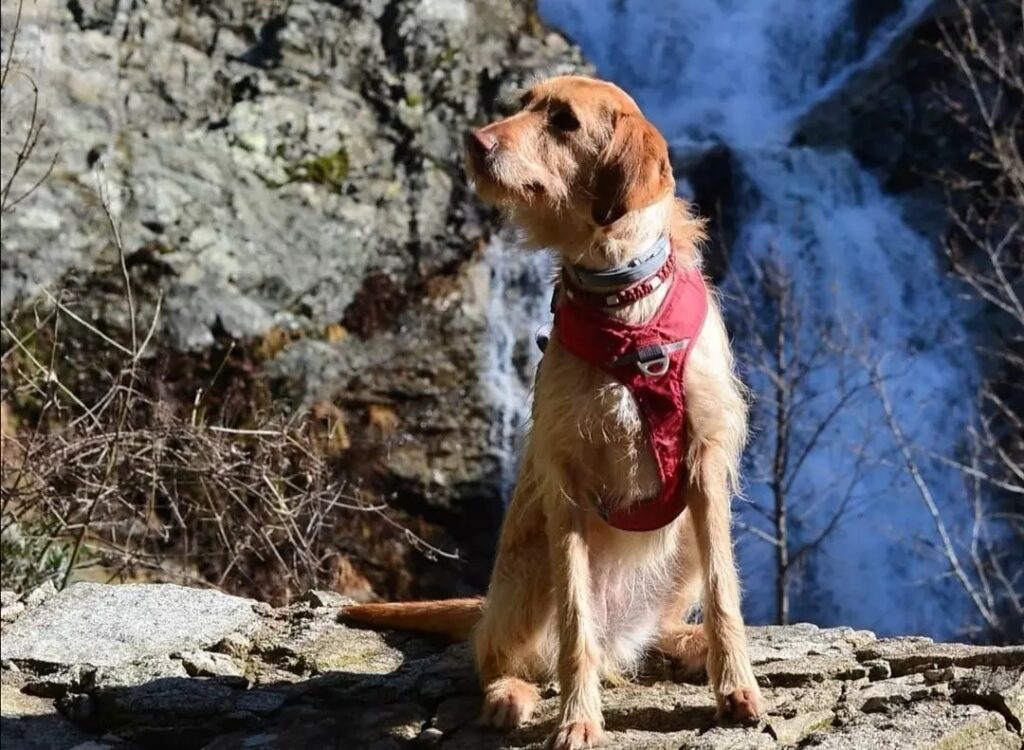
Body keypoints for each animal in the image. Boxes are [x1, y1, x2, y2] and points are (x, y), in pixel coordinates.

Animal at [344, 76, 761, 750]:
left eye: (563, 121)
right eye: (523, 102)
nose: (476, 141)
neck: (624, 306)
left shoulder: (706, 462)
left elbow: (726, 593)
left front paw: (737, 684)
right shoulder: (567, 483)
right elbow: (573, 625)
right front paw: (578, 718)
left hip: (687, 538)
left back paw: (688, 642)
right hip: (529, 565)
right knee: (494, 656)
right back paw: (510, 693)